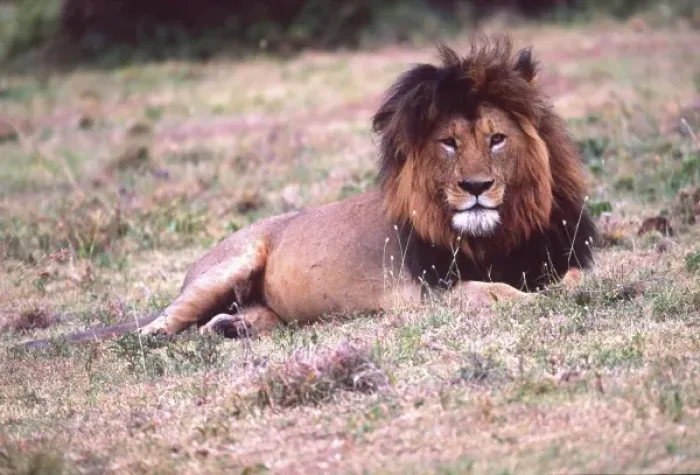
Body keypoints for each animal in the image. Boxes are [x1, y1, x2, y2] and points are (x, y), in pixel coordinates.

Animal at [22, 37, 596, 349]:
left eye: (497, 139)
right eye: (449, 143)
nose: (476, 188)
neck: (498, 234)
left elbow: (572, 279)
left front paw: (567, 292)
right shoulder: (427, 293)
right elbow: (495, 293)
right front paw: (530, 298)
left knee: (237, 321)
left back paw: (230, 329)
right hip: (228, 264)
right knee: (163, 320)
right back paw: (159, 338)